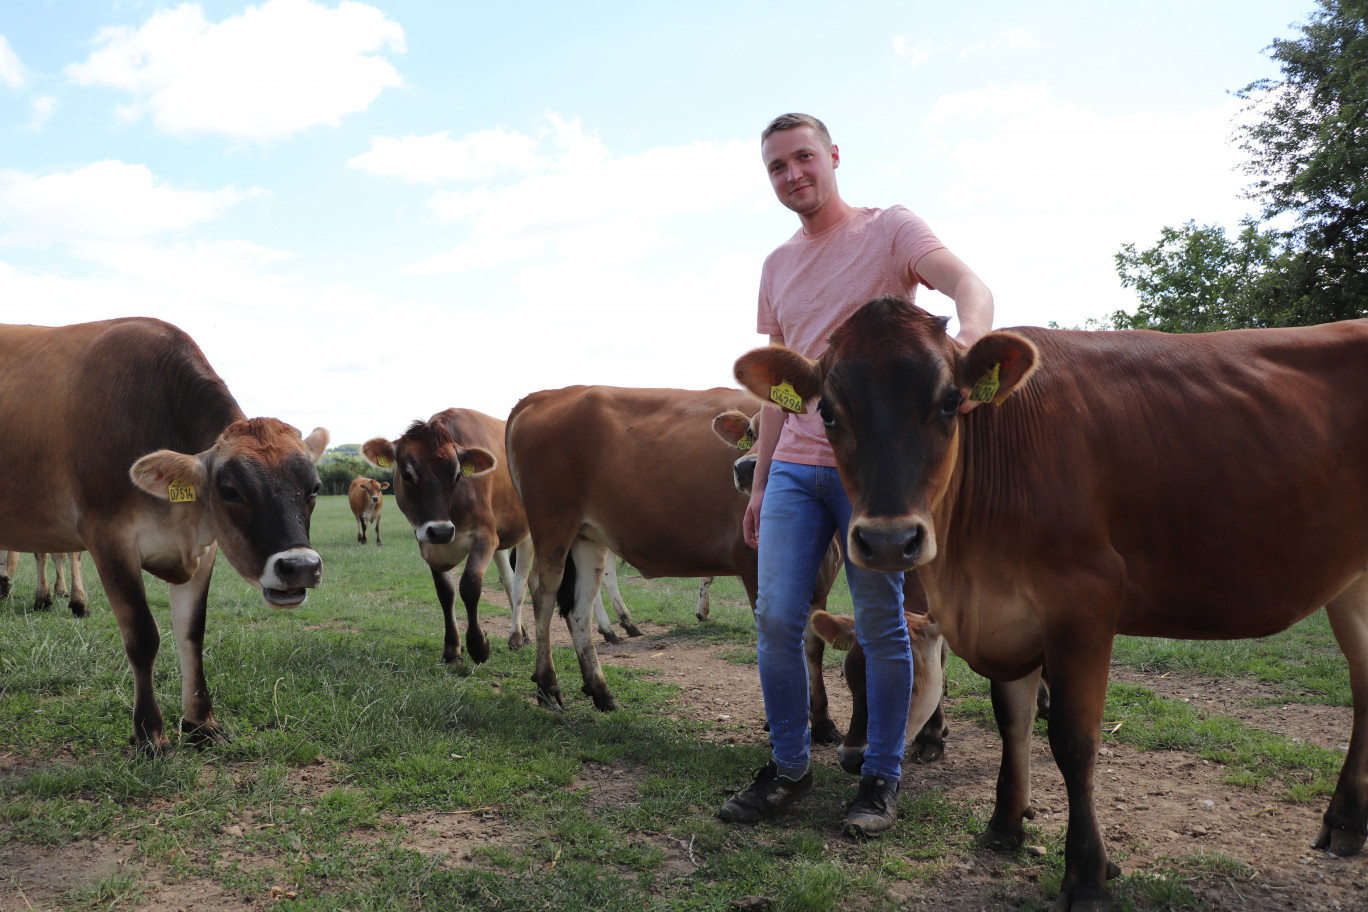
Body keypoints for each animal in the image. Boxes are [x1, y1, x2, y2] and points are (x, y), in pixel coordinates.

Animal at [0, 317, 328, 754]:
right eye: (230, 490)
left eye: (314, 488)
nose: (300, 567)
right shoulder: (108, 536)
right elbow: (142, 635)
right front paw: (149, 733)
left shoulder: (205, 548)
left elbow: (192, 632)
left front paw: (201, 722)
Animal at [506, 385, 837, 727]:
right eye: (751, 431)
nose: (746, 468)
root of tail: (547, 394)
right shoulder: (752, 562)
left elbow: (813, 646)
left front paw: (822, 721)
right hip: (553, 527)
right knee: (542, 597)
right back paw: (548, 687)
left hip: (587, 538)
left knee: (578, 610)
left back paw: (602, 692)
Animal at [738, 296, 1368, 907]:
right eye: (827, 411)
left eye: (950, 401)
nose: (890, 540)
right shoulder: (1007, 618)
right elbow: (1010, 720)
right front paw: (1006, 823)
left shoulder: (1084, 603)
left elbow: (1073, 741)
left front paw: (1087, 874)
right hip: (1351, 586)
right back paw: (1346, 821)